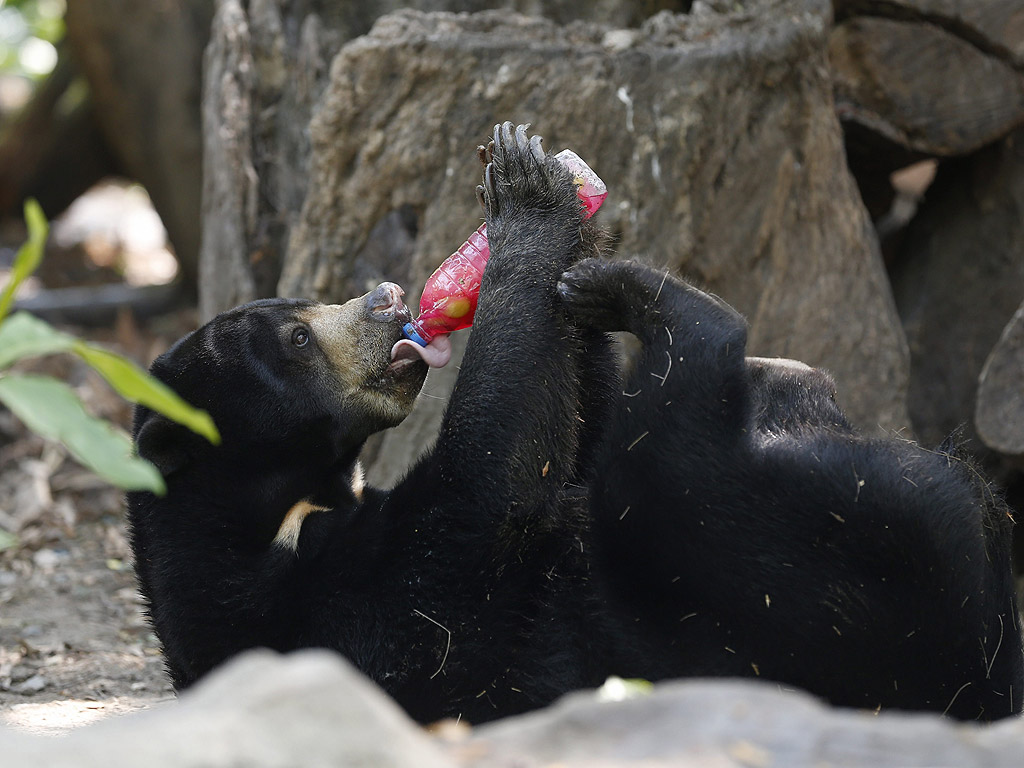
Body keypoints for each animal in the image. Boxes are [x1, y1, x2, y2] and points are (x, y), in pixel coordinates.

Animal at [130, 123, 1024, 724]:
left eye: (304, 303)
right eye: (296, 338)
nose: (388, 301)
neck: (287, 509)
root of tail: (983, 669)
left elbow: (568, 443)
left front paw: (569, 241)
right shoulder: (334, 613)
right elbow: (491, 489)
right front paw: (529, 200)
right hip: (813, 585)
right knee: (685, 455)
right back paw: (665, 304)